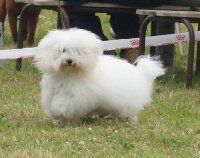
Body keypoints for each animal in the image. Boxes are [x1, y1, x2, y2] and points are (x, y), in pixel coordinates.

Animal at [34, 27, 165, 125]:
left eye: (77, 51)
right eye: (63, 50)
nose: (70, 61)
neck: (69, 74)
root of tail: (141, 72)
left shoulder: (77, 97)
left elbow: (63, 106)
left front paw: (58, 114)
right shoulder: (52, 92)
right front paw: (59, 121)